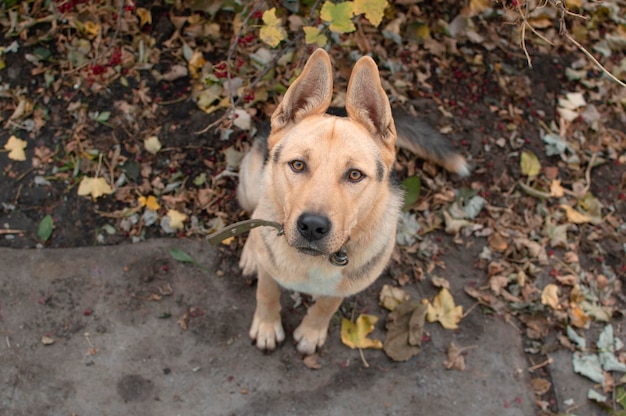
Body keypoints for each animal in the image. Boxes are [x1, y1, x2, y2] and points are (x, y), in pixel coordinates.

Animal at [236, 48, 466, 354]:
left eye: (355, 175)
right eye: (297, 165)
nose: (312, 227)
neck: (315, 261)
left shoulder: (347, 284)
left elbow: (327, 305)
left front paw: (311, 332)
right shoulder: (270, 272)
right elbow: (267, 292)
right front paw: (267, 326)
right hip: (251, 185)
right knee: (254, 218)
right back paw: (252, 253)